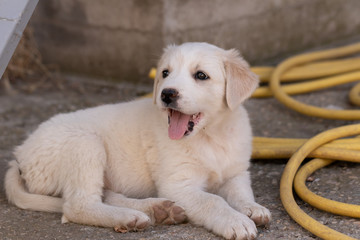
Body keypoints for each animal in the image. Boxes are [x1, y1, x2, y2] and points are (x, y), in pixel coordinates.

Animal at [4, 42, 270, 239]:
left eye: (201, 75)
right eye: (165, 73)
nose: (166, 93)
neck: (210, 135)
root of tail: (20, 156)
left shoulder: (236, 173)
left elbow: (240, 193)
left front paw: (252, 209)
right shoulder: (178, 184)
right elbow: (213, 200)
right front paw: (235, 221)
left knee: (105, 195)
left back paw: (157, 210)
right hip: (86, 144)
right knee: (76, 206)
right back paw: (129, 217)